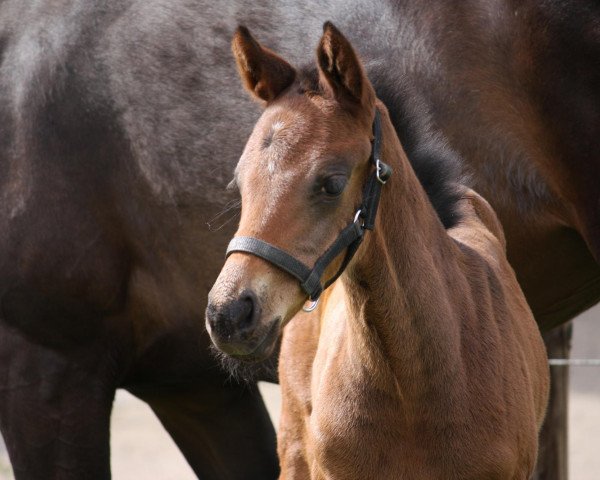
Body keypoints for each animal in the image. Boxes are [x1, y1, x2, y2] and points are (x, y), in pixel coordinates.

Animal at [0, 0, 596, 478]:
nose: (228, 313)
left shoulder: (50, 363)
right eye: (239, 182)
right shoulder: (193, 386)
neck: (422, 379)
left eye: (330, 181)